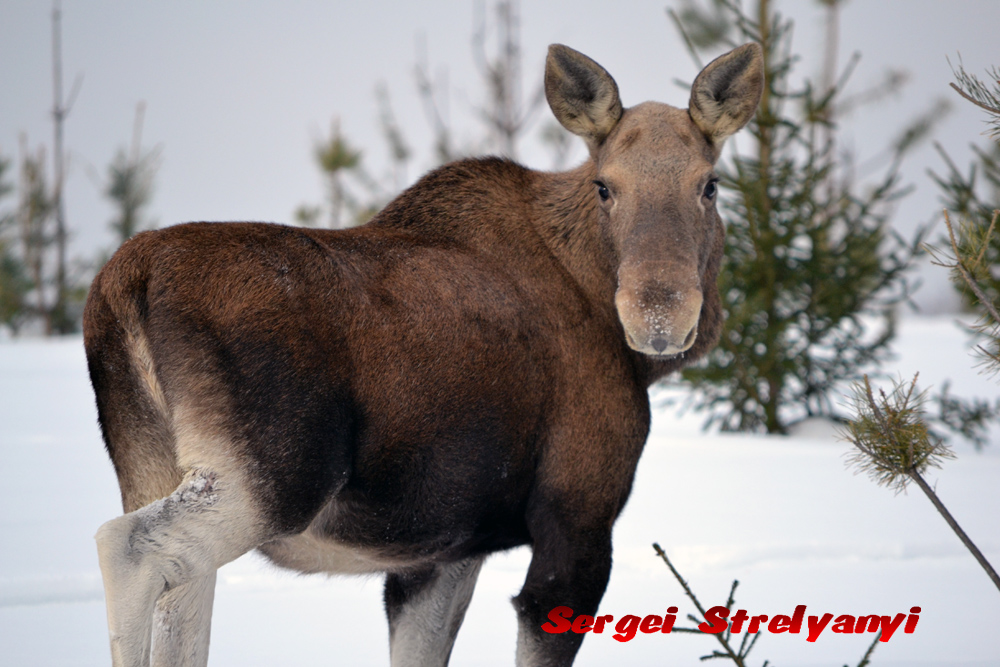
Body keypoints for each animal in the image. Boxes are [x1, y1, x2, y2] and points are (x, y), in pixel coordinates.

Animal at [86, 43, 760, 667]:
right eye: (605, 186)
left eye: (710, 184)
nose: (659, 317)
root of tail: (127, 280)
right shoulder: (578, 515)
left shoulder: (445, 552)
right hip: (272, 479)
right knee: (127, 548)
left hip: (150, 464)